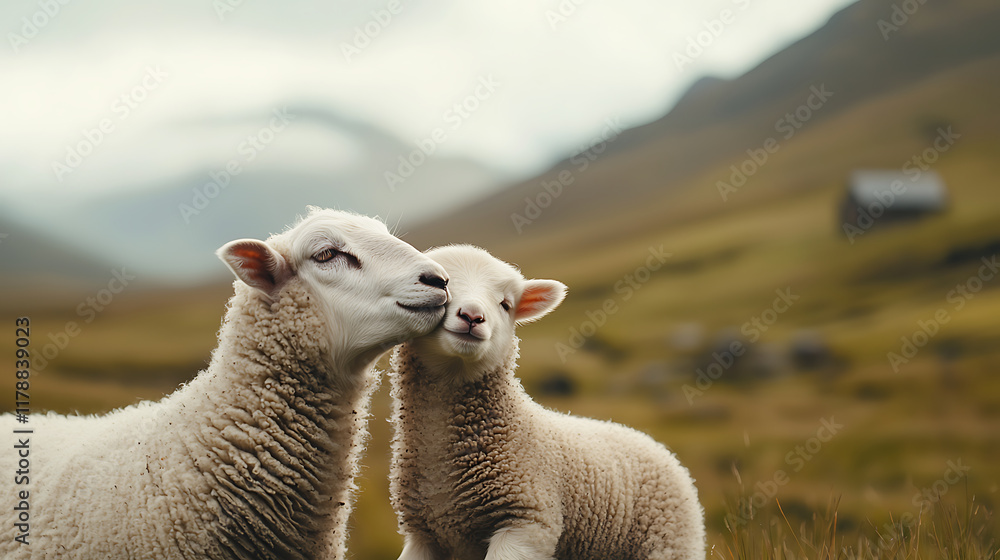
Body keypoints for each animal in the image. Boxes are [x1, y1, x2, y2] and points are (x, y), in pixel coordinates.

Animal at [389, 245, 705, 560]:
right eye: (445, 288)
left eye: (505, 304)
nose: (473, 316)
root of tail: (657, 446)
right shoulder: (422, 534)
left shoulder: (525, 520)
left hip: (668, 542)